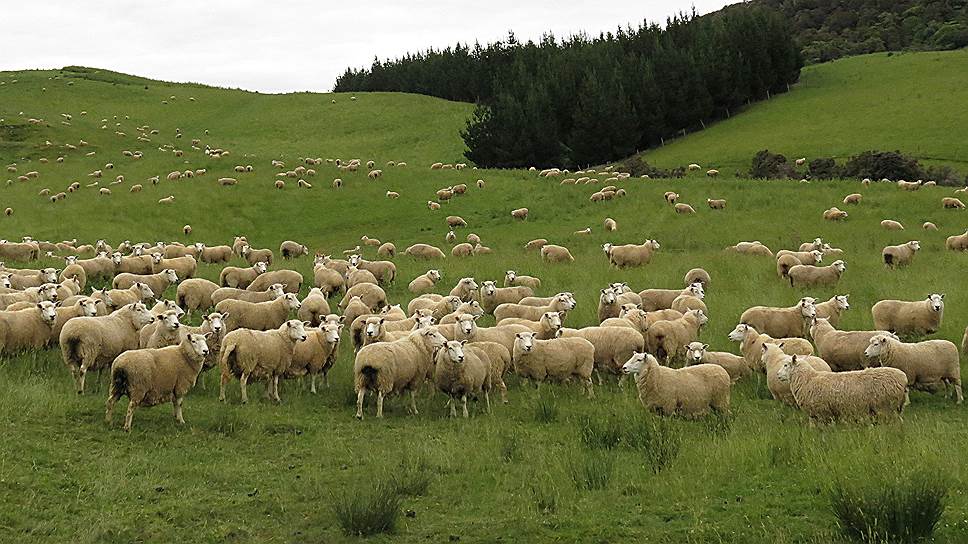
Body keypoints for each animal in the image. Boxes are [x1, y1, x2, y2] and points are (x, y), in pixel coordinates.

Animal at [776, 352, 912, 424]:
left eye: (786, 365)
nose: (777, 375)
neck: (807, 379)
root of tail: (903, 378)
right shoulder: (817, 415)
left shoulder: (822, 413)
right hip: (894, 408)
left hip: (886, 408)